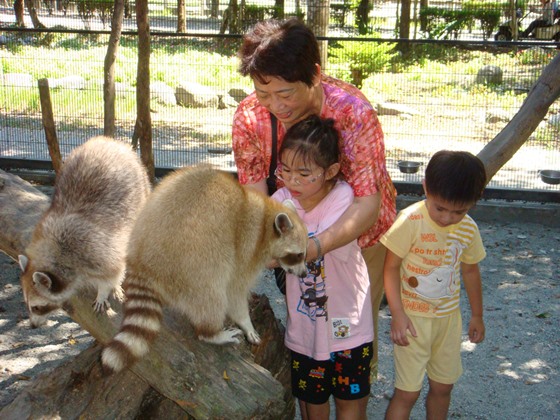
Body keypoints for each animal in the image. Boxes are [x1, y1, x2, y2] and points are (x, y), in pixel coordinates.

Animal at [19, 138, 151, 328]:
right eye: (28, 305)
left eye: (37, 307)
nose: (33, 326)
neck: (55, 251)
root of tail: (109, 141)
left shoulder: (97, 250)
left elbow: (113, 272)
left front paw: (105, 291)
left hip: (140, 184)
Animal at [101, 166, 310, 372]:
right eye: (298, 255)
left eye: (304, 254)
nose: (304, 273)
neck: (266, 220)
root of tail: (142, 261)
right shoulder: (246, 251)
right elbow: (234, 292)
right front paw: (246, 322)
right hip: (193, 262)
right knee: (213, 293)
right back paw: (211, 333)